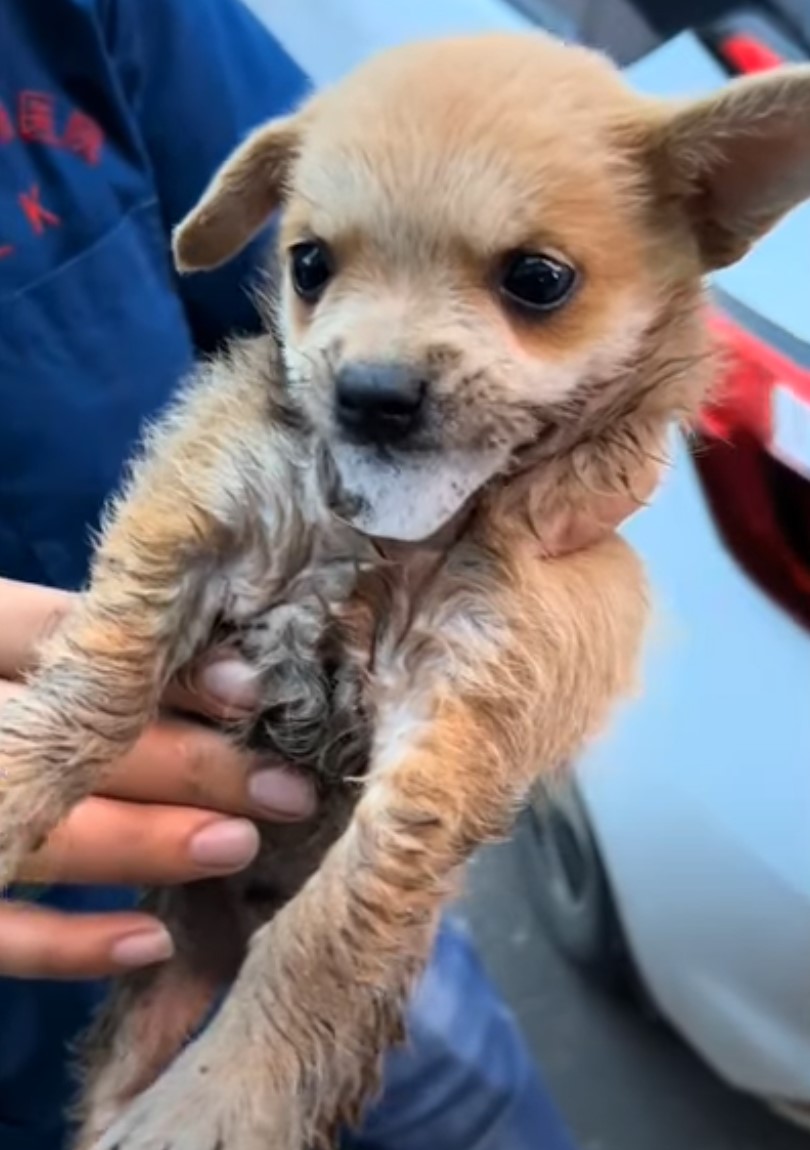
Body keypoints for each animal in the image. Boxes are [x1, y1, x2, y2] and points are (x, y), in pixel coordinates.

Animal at [1, 33, 809, 1150]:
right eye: (308, 265)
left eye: (538, 279)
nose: (371, 395)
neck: (382, 532)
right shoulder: (192, 523)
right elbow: (91, 688)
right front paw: (10, 794)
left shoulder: (459, 713)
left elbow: (325, 937)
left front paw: (220, 1099)